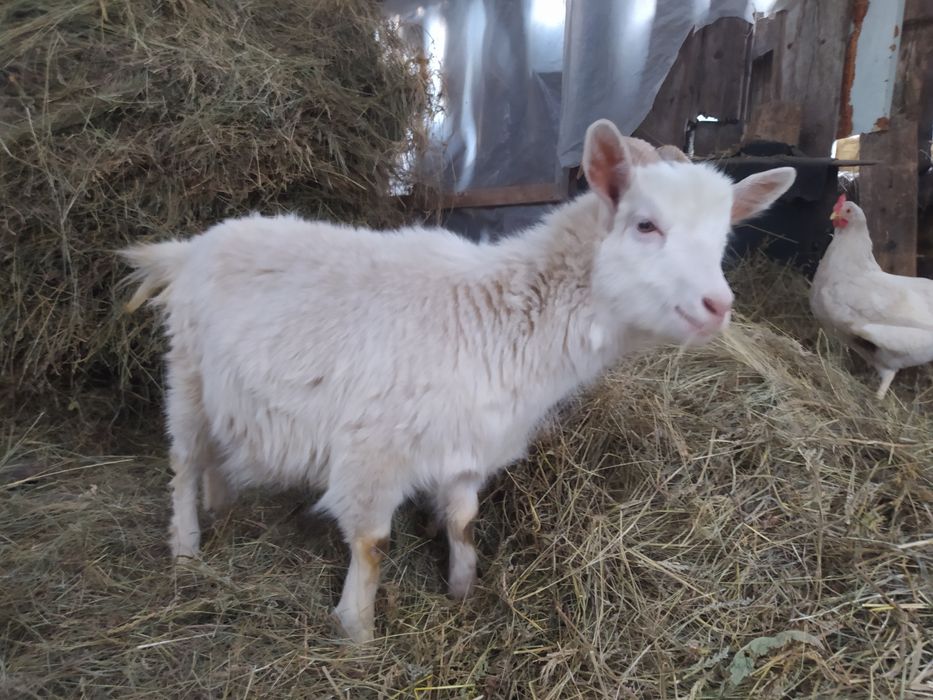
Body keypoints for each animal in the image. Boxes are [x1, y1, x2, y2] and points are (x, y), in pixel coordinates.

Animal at [120, 119, 795, 643]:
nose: (717, 306)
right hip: (186, 376)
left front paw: (463, 589)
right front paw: (357, 631)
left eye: (724, 238)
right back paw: (186, 547)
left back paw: (221, 506)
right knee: (183, 462)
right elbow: (371, 544)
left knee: (214, 454)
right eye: (646, 225)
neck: (498, 314)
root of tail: (191, 248)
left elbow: (464, 519)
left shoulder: (469, 445)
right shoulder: (373, 451)